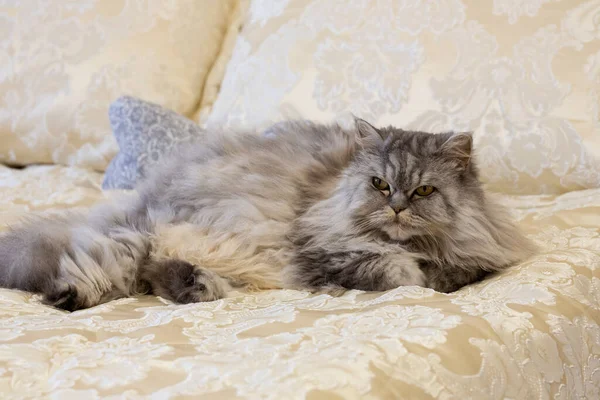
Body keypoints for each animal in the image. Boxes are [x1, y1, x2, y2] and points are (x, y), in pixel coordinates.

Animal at [0, 117, 536, 310]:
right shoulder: (326, 250)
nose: (397, 206)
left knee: (150, 272)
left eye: (423, 190)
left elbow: (455, 270)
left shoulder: (477, 256)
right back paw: (70, 296)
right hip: (166, 233)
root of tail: (145, 198)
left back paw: (192, 287)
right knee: (119, 265)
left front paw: (440, 275)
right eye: (379, 185)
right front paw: (415, 274)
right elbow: (396, 271)